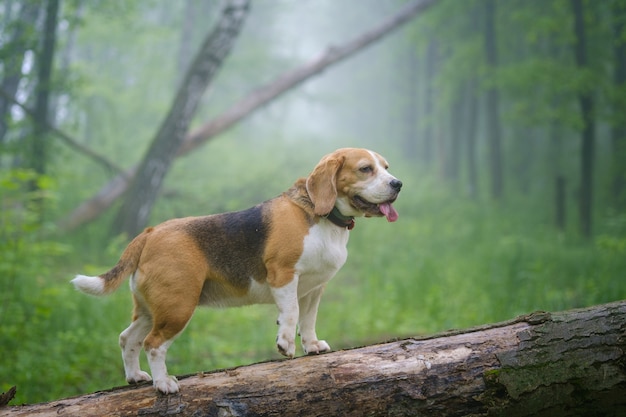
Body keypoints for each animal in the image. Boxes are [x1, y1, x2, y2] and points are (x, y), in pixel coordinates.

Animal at [72, 147, 400, 394]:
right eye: (365, 169)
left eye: (386, 167)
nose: (397, 184)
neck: (324, 217)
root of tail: (150, 233)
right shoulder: (283, 276)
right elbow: (291, 314)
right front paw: (285, 344)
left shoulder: (314, 288)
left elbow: (308, 321)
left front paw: (312, 346)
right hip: (178, 307)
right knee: (153, 345)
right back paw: (163, 383)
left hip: (154, 309)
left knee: (128, 338)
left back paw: (135, 377)